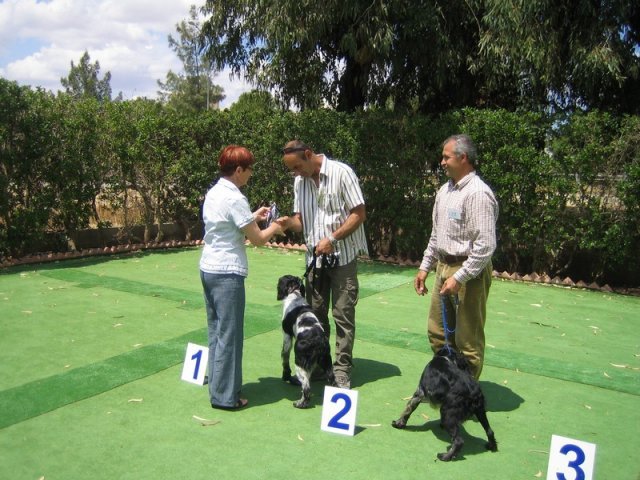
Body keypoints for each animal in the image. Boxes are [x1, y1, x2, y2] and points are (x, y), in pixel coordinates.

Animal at [276, 276, 336, 406]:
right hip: (326, 360)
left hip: (300, 362)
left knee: (306, 387)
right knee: (332, 379)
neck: (295, 294)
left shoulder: (287, 336)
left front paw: (286, 376)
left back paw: (300, 404)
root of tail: (318, 340)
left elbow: (285, 357)